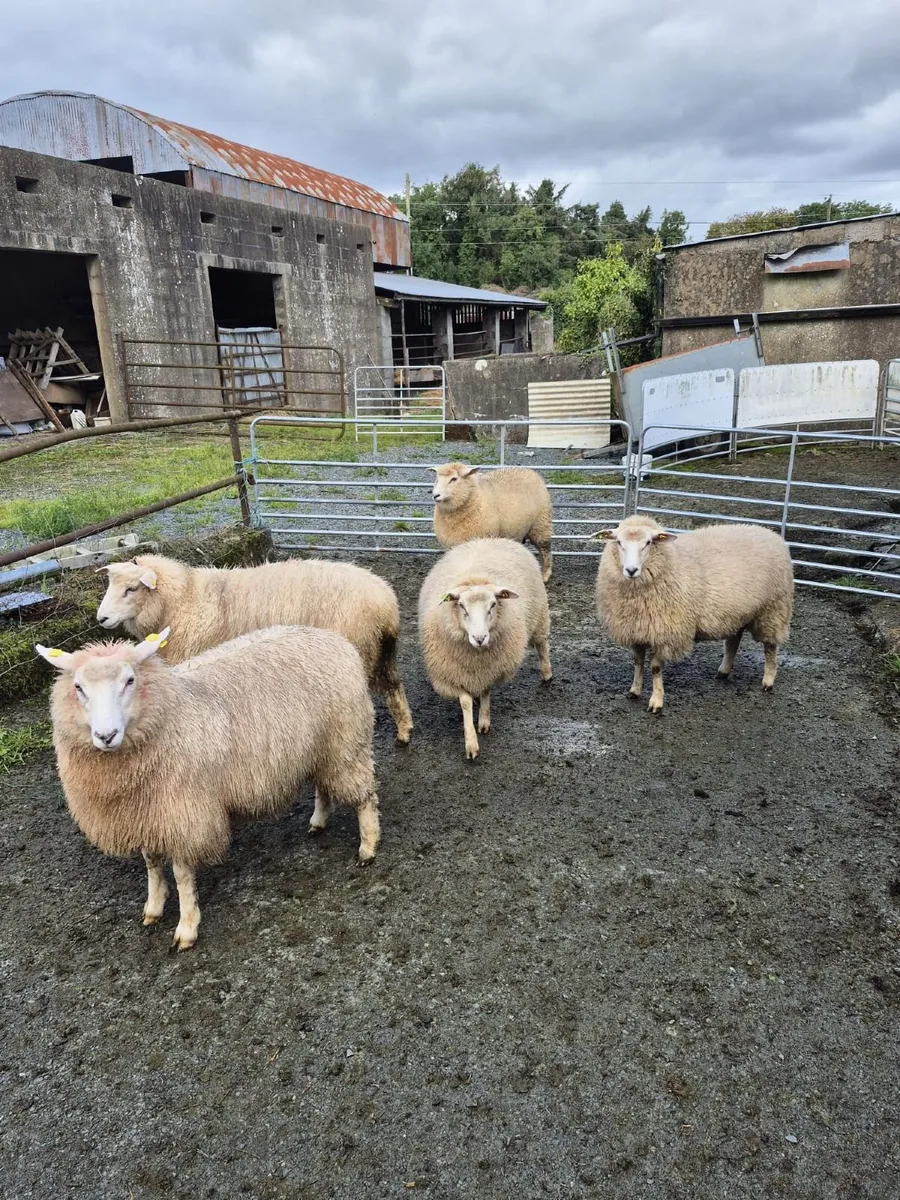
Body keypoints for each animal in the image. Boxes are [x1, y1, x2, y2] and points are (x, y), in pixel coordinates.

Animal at [36, 624, 380, 950]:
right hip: (322, 749)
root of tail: (333, 638)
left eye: (130, 680)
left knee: (365, 796)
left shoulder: (184, 813)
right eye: (78, 687)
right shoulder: (146, 812)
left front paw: (186, 928)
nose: (105, 736)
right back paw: (318, 822)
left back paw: (368, 847)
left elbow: (181, 875)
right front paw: (153, 907)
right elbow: (152, 864)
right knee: (325, 785)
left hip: (346, 741)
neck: (169, 715)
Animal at [96, 553, 413, 744]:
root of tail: (385, 600)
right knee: (394, 685)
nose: (102, 618)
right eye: (110, 585)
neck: (184, 598)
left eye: (131, 589)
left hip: (359, 650)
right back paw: (405, 730)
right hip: (382, 650)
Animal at [418, 537, 552, 759]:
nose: (480, 638)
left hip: (540, 615)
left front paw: (483, 721)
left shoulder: (490, 668)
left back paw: (547, 673)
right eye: (462, 606)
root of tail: (491, 538)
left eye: (493, 605)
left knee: (542, 645)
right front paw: (471, 742)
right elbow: (465, 702)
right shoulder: (453, 674)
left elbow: (486, 692)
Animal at [594, 515, 794, 714]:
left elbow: (655, 668)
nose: (631, 570)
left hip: (773, 609)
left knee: (770, 647)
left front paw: (656, 702)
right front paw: (634, 690)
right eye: (619, 542)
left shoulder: (665, 633)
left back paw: (768, 681)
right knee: (733, 641)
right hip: (736, 613)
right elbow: (637, 662)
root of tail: (771, 533)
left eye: (648, 542)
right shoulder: (636, 629)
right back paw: (724, 671)